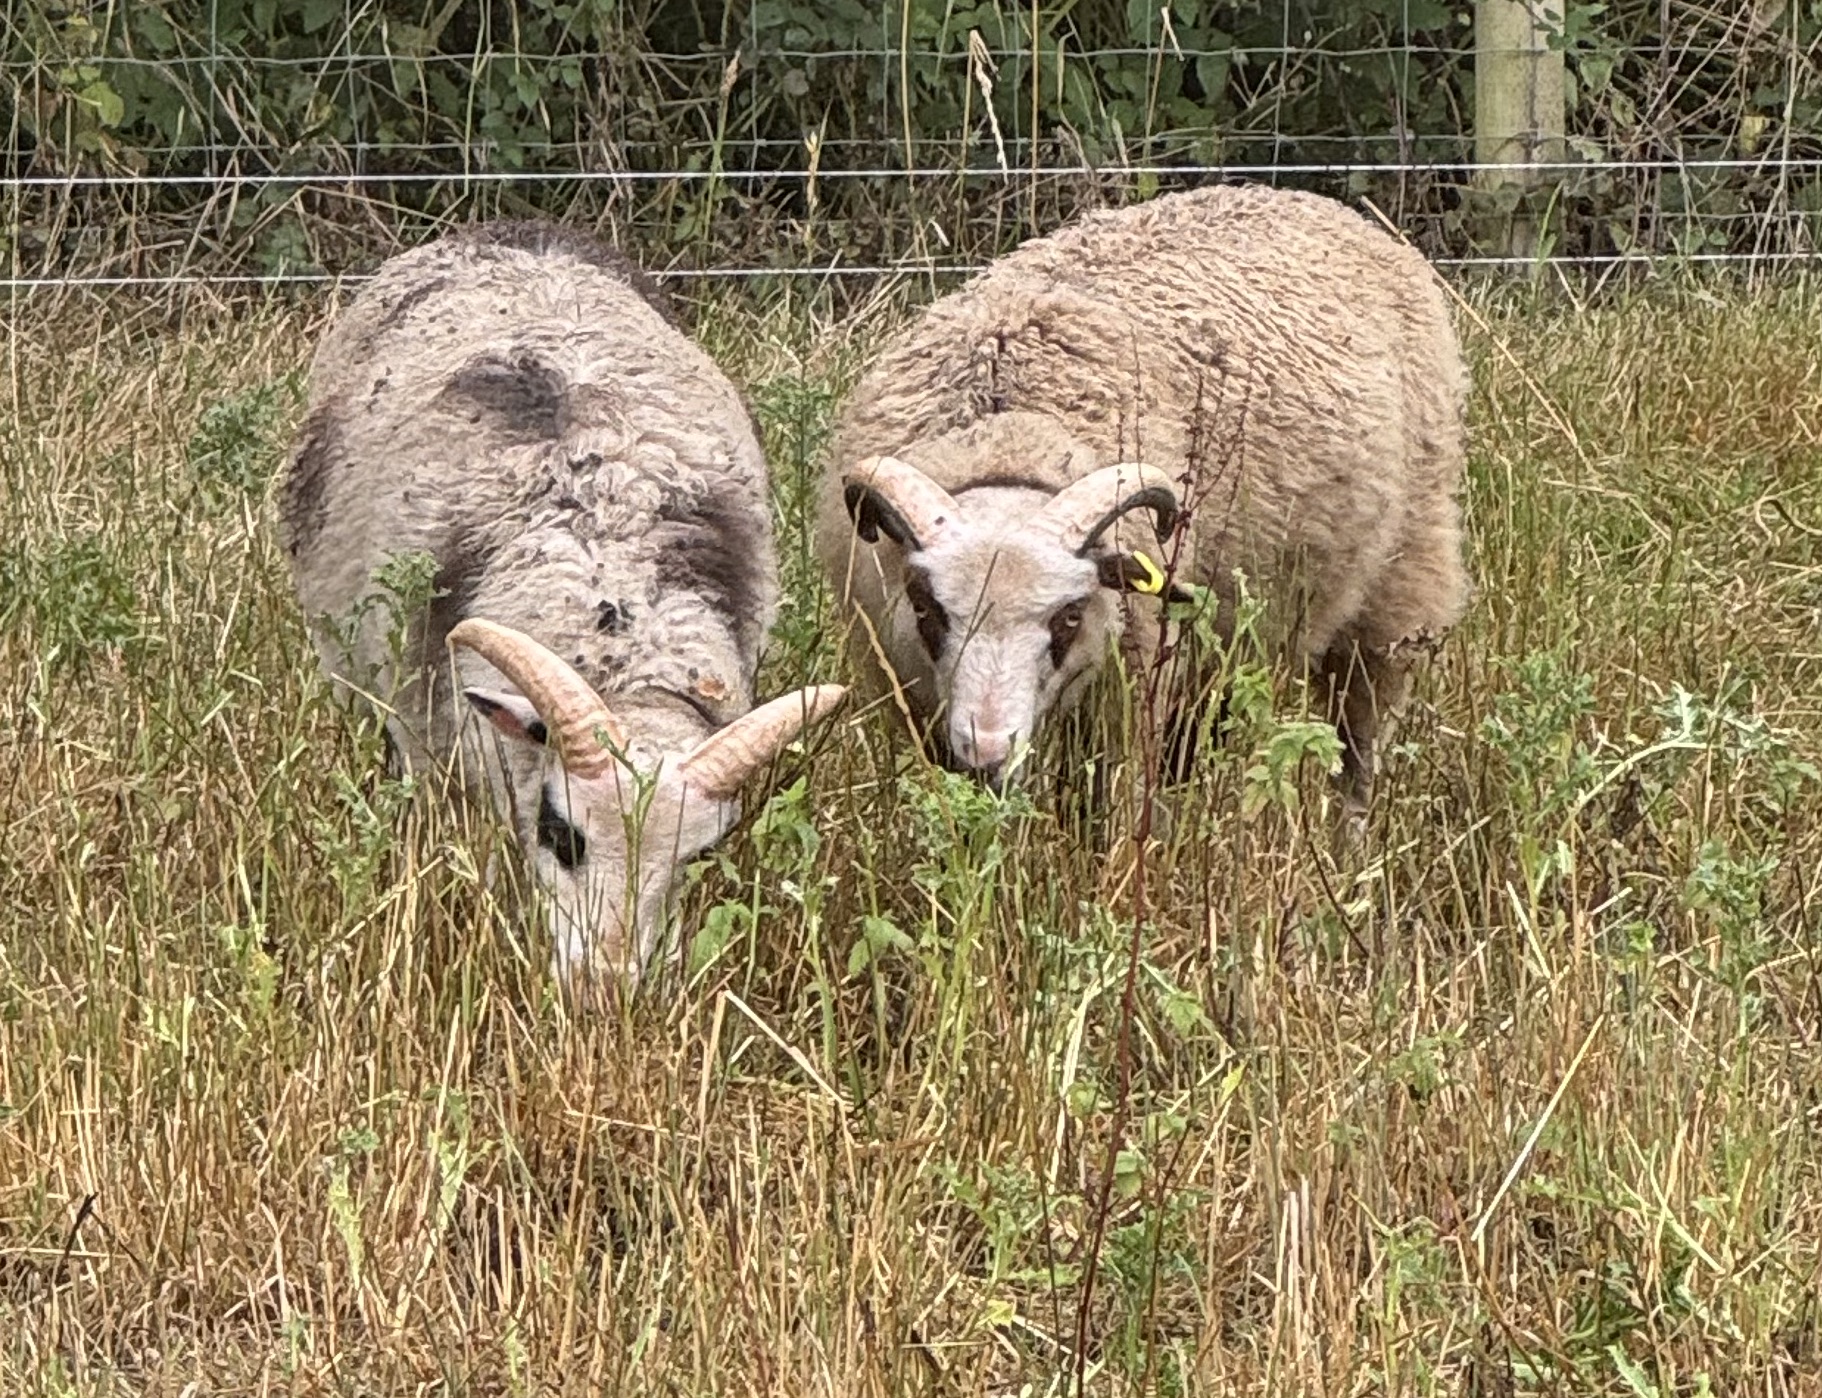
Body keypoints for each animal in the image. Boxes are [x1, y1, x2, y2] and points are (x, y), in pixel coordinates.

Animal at [816, 183, 1469, 808]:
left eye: (1069, 616)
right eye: (927, 609)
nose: (987, 755)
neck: (1007, 434)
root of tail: (1317, 201)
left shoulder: (1120, 709)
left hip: (1396, 595)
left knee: (1359, 751)